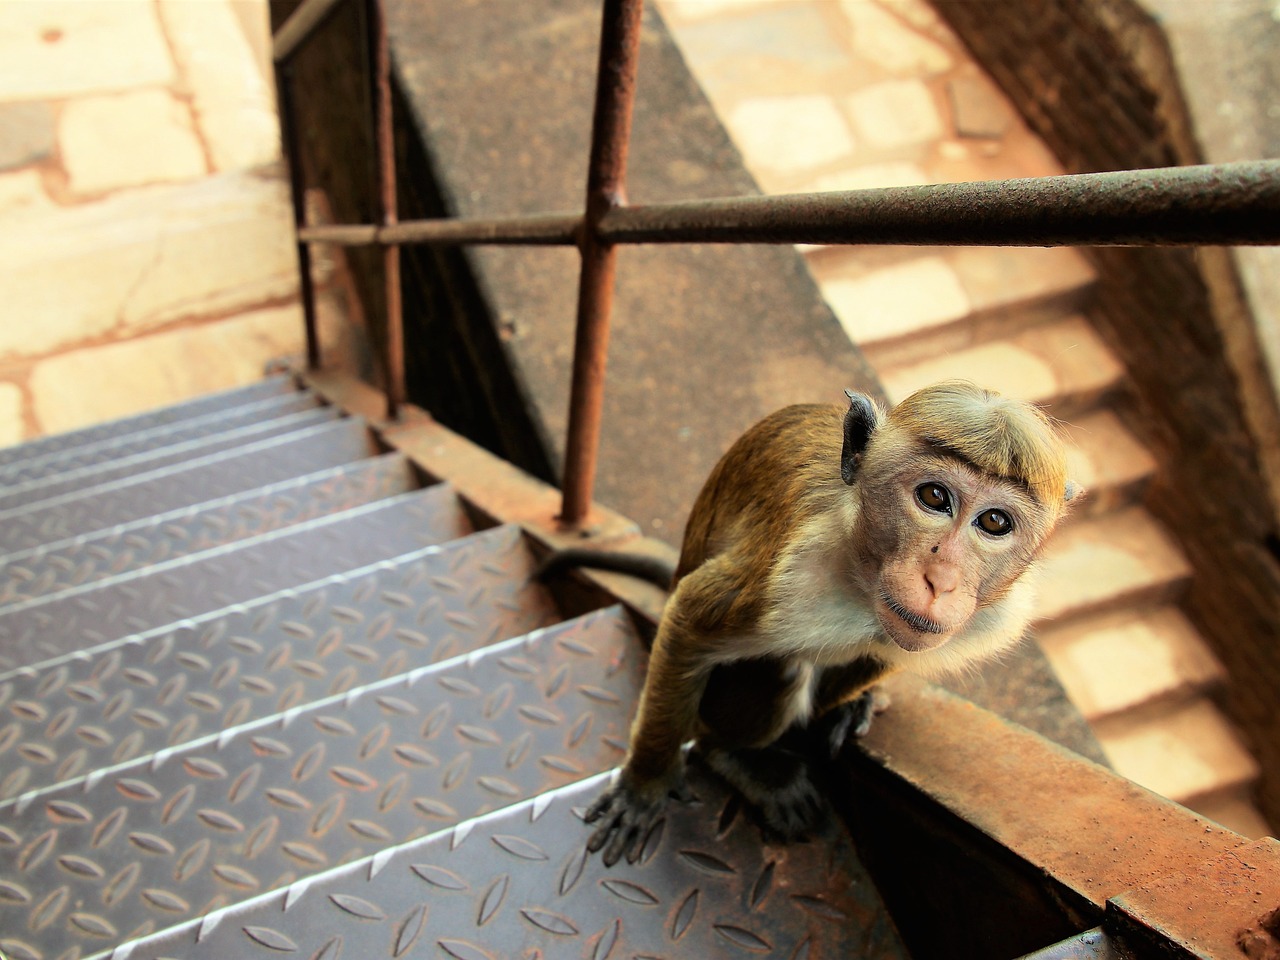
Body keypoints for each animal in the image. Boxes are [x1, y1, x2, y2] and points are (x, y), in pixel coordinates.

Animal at [586, 378, 1075, 870]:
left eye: (994, 522)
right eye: (935, 497)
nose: (941, 580)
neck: (862, 572)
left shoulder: (983, 620)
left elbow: (886, 650)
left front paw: (848, 705)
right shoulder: (788, 576)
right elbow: (689, 619)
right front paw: (645, 784)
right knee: (781, 666)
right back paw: (735, 753)